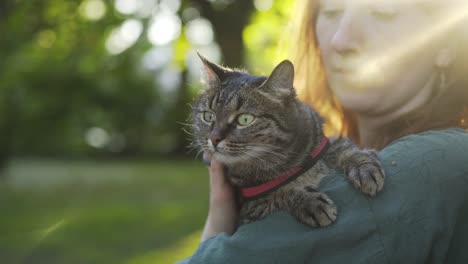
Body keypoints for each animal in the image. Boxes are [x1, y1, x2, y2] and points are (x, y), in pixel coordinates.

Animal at [190, 53, 384, 227]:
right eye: (208, 116)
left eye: (244, 119)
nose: (214, 138)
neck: (284, 163)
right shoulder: (249, 210)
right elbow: (280, 193)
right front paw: (308, 201)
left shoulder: (326, 142)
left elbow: (345, 148)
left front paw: (364, 168)